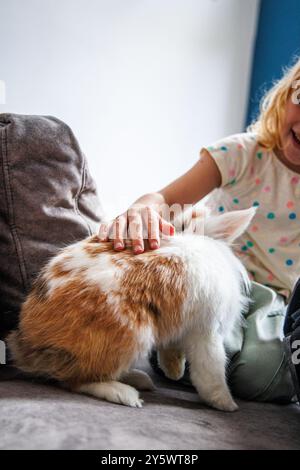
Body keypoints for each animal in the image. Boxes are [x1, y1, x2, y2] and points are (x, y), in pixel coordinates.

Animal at [7, 207, 255, 410]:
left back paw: (139, 379)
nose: (174, 374)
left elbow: (172, 351)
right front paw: (226, 404)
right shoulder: (208, 332)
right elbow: (211, 369)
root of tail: (28, 347)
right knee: (76, 380)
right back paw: (125, 393)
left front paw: (174, 371)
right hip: (132, 336)